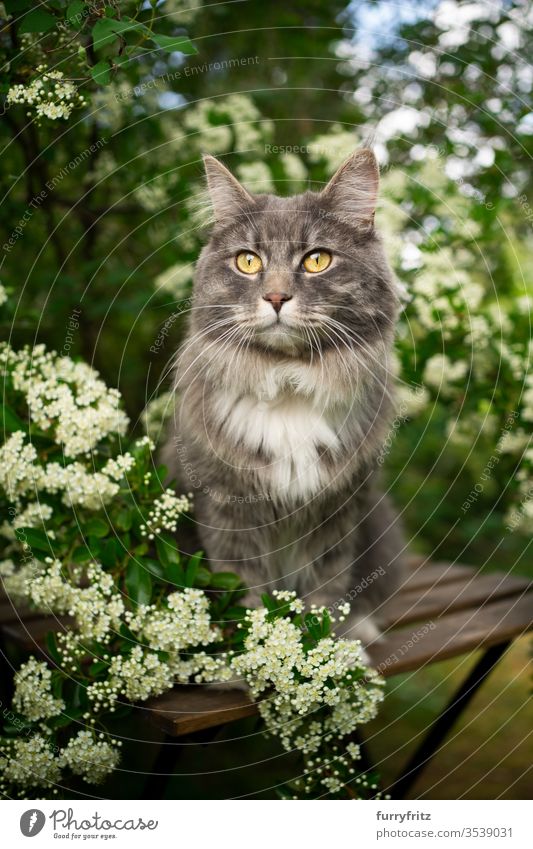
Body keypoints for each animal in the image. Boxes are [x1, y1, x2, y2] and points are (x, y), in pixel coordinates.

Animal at [162, 147, 404, 656]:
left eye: (317, 260)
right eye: (248, 262)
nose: (275, 297)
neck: (289, 381)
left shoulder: (339, 512)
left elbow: (326, 593)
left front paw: (325, 654)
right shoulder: (227, 511)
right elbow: (247, 593)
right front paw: (257, 656)